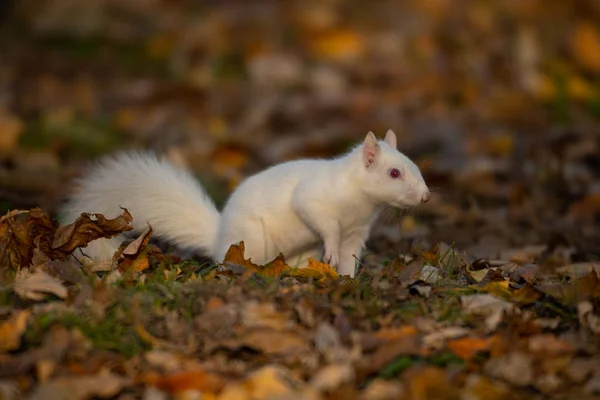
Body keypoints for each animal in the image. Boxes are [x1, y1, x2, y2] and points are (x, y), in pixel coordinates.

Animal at [61, 130, 428, 276]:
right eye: (394, 172)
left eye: (414, 164)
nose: (425, 196)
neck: (359, 201)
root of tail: (219, 238)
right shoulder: (315, 198)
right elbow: (320, 221)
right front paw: (331, 251)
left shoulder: (357, 230)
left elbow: (351, 255)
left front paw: (347, 277)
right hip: (251, 242)